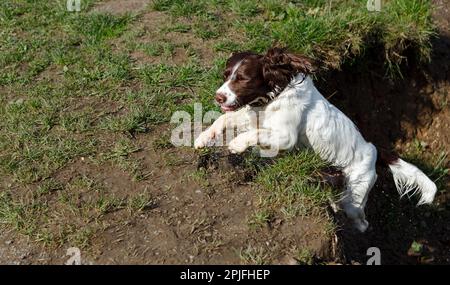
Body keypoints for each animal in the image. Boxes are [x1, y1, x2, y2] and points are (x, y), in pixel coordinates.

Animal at [195, 47, 438, 232]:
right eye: (225, 75)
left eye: (243, 79)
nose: (218, 96)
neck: (275, 94)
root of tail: (374, 149)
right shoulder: (252, 116)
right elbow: (224, 119)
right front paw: (203, 138)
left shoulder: (286, 137)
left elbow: (252, 134)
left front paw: (236, 144)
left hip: (356, 194)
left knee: (360, 218)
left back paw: (357, 227)